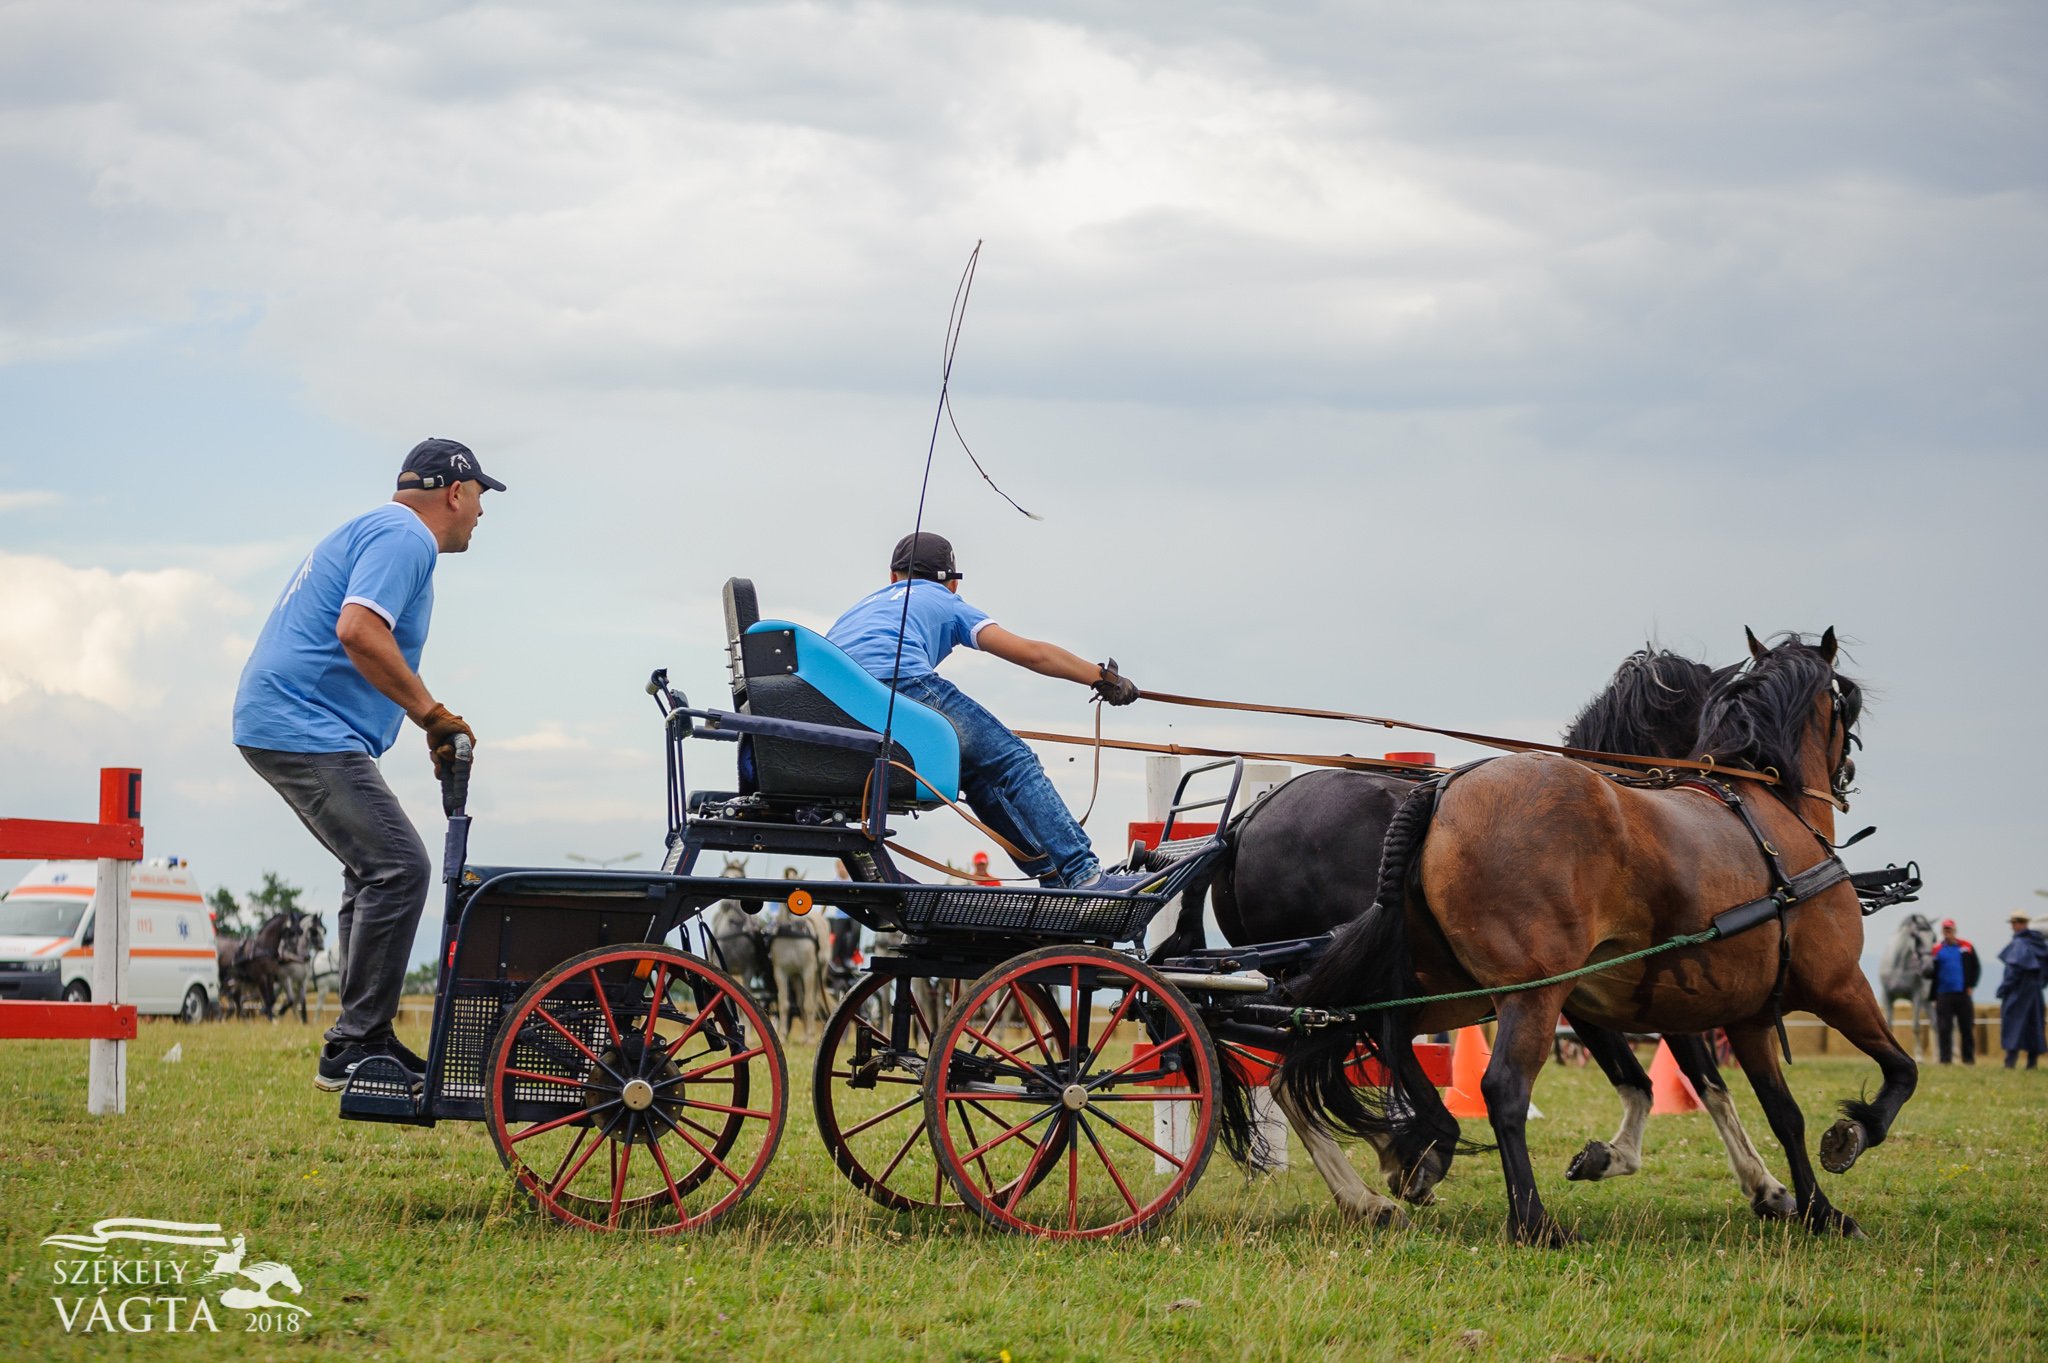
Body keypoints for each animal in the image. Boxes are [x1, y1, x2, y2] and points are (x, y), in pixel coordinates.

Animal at [1171, 646, 1794, 1219]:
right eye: (1714, 715)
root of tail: (1246, 822)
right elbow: (1703, 1079)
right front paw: (1766, 1186)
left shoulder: (1581, 989)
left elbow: (1639, 1078)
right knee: (1299, 1075)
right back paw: (1385, 1179)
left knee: (1300, 1074)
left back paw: (1387, 1168)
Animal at [1286, 630, 1908, 1244]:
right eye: (1845, 700)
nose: (1848, 771)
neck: (1768, 810)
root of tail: (1440, 791)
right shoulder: (1839, 986)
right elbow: (1899, 1071)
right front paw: (1849, 1142)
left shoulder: (1739, 1014)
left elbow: (1777, 1111)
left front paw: (1811, 1207)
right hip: (1532, 993)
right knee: (1502, 1088)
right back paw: (1532, 1221)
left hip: (1442, 986)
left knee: (1371, 1037)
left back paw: (1422, 1147)